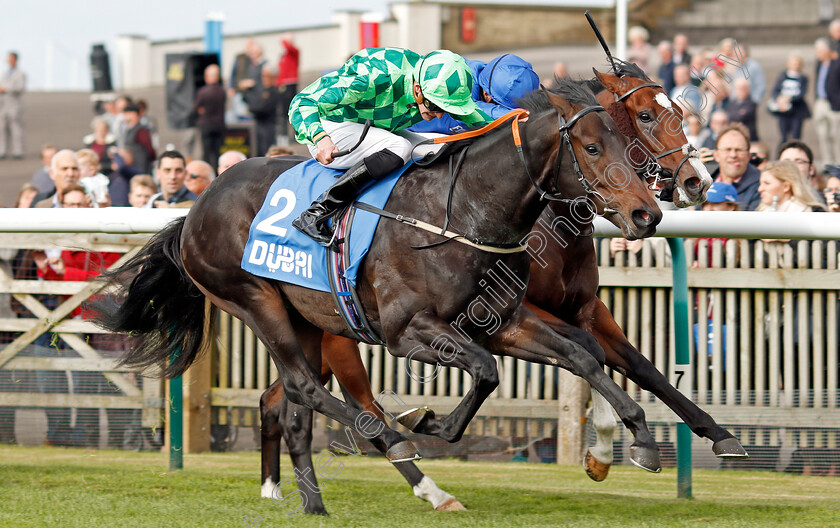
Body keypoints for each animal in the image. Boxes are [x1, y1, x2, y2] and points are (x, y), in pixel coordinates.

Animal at [90, 82, 664, 516]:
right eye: (593, 148)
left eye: (625, 140)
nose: (647, 214)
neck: (464, 211)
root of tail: (198, 203)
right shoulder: (407, 332)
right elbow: (487, 370)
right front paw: (430, 423)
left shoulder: (502, 321)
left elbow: (578, 355)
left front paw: (640, 438)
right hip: (254, 299)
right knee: (307, 390)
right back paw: (407, 461)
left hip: (306, 320)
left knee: (291, 405)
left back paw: (314, 503)